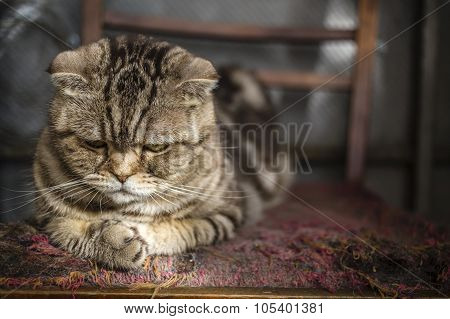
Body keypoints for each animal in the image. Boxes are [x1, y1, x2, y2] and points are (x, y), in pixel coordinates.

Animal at [32, 35, 292, 270]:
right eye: (95, 143)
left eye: (155, 147)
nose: (121, 175)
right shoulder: (44, 216)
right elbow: (66, 227)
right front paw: (113, 241)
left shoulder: (229, 212)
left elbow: (178, 228)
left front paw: (131, 234)